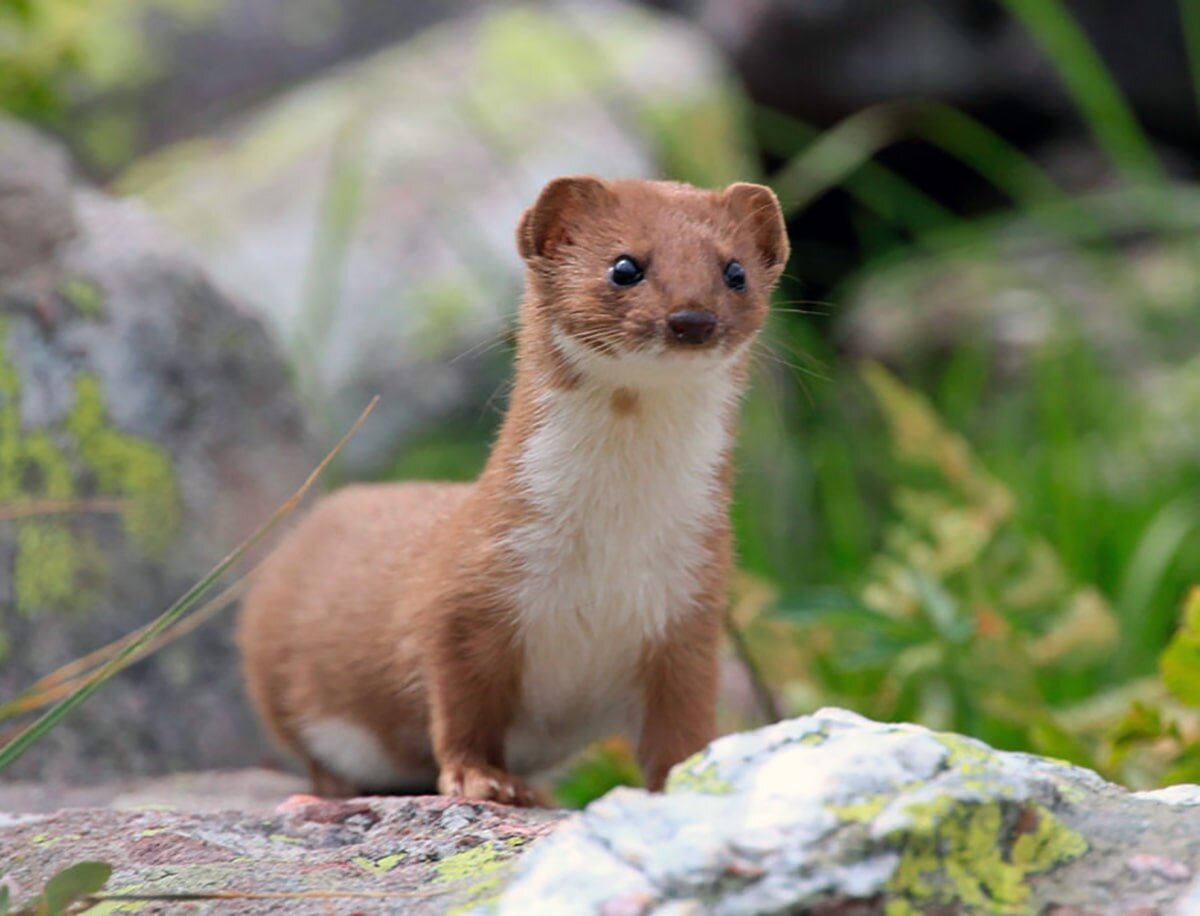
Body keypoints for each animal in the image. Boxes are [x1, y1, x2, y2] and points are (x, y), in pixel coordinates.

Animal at [238, 175, 792, 806]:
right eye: (624, 266)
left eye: (735, 271)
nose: (692, 318)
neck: (610, 548)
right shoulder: (467, 592)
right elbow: (462, 705)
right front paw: (484, 778)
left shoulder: (691, 610)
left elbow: (683, 725)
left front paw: (689, 783)